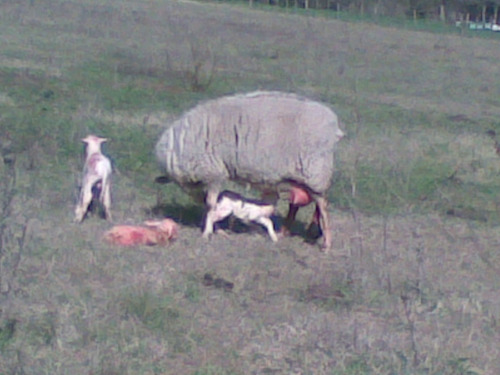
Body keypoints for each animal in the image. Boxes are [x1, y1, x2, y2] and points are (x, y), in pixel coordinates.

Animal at [156, 90, 344, 253]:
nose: (196, 195)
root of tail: (334, 125)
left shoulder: (213, 173)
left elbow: (211, 204)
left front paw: (211, 230)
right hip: (304, 174)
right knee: (303, 205)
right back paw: (296, 232)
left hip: (315, 170)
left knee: (322, 205)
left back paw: (326, 243)